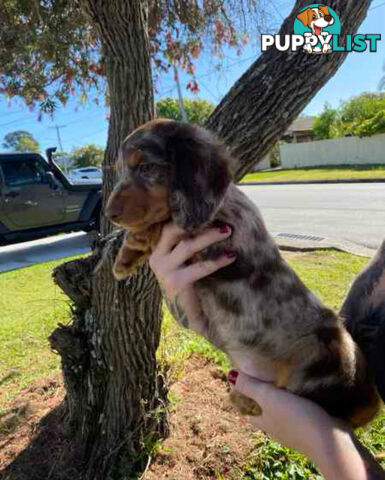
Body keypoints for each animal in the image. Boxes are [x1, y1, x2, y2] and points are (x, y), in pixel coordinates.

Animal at [104, 121, 378, 428]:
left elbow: (163, 224)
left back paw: (244, 399)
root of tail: (367, 405)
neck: (220, 203)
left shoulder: (216, 243)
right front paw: (124, 260)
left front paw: (130, 247)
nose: (109, 214)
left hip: (324, 350)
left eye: (146, 167)